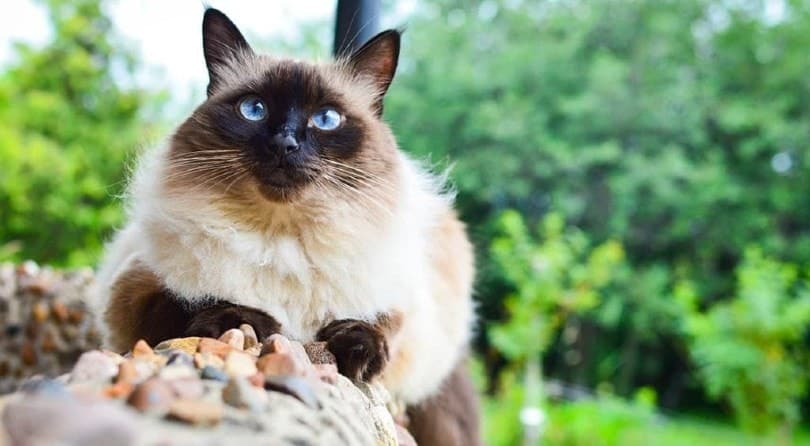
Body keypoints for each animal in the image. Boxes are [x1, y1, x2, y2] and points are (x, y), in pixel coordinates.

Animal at [90, 8, 480, 444]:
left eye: (326, 119)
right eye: (254, 109)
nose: (285, 144)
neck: (281, 240)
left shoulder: (406, 309)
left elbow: (382, 324)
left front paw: (354, 350)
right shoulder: (134, 292)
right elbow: (186, 301)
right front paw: (249, 322)